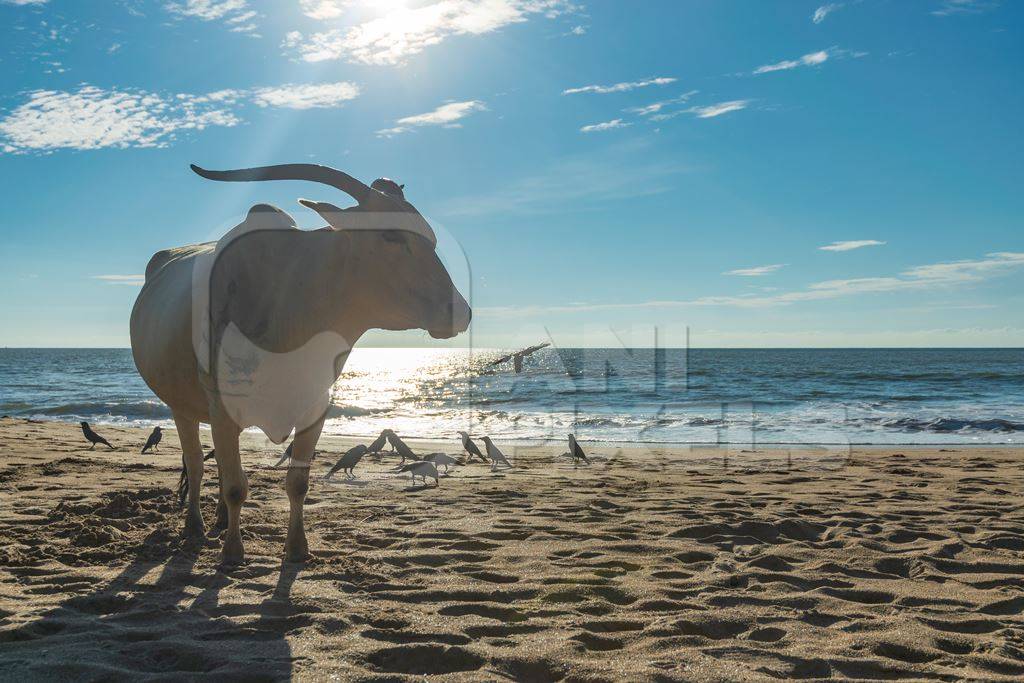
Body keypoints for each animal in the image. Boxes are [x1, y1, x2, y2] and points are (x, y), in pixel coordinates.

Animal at [129, 162, 475, 565]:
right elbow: (235, 486)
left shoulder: (316, 407)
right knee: (198, 464)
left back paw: (218, 520)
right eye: (389, 234)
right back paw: (195, 527)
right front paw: (232, 553)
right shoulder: (223, 408)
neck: (287, 301)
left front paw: (296, 549)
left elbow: (298, 483)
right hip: (181, 407)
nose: (460, 313)